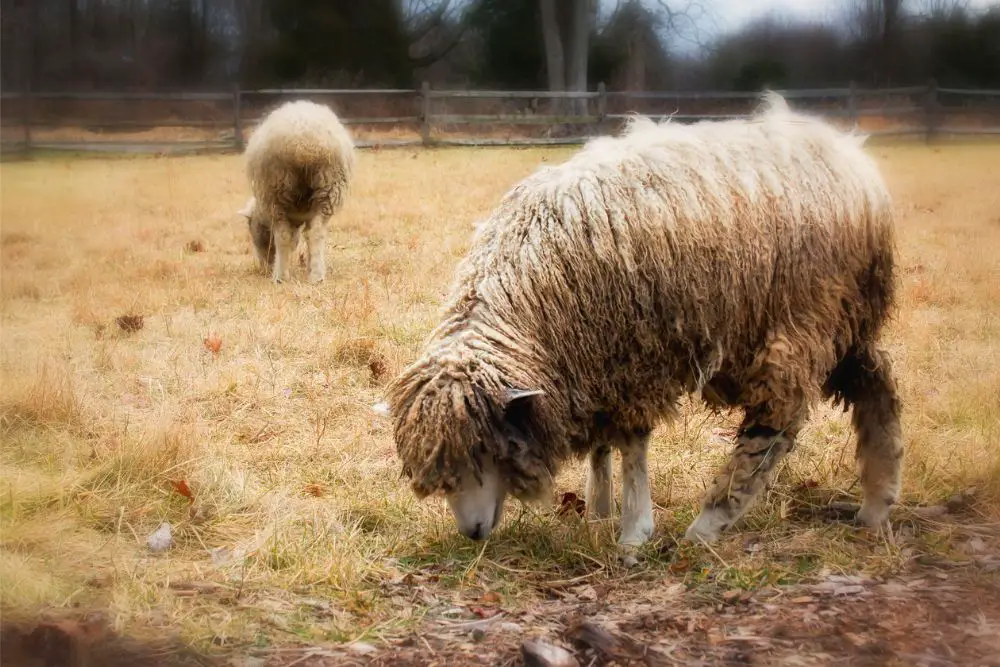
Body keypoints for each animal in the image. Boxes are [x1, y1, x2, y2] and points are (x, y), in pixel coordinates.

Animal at [238, 100, 356, 284]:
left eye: (251, 229)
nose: (264, 268)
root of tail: (303, 142)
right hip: (328, 188)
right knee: (315, 233)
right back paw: (316, 276)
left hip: (275, 191)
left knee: (283, 235)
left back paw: (280, 277)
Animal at [378, 91, 904, 556]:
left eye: (486, 451)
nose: (472, 534)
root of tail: (853, 159)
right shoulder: (593, 364)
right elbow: (601, 442)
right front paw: (598, 511)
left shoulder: (634, 359)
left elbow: (631, 444)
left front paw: (633, 531)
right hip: (846, 317)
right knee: (877, 386)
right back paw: (877, 504)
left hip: (803, 315)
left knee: (777, 421)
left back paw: (708, 524)